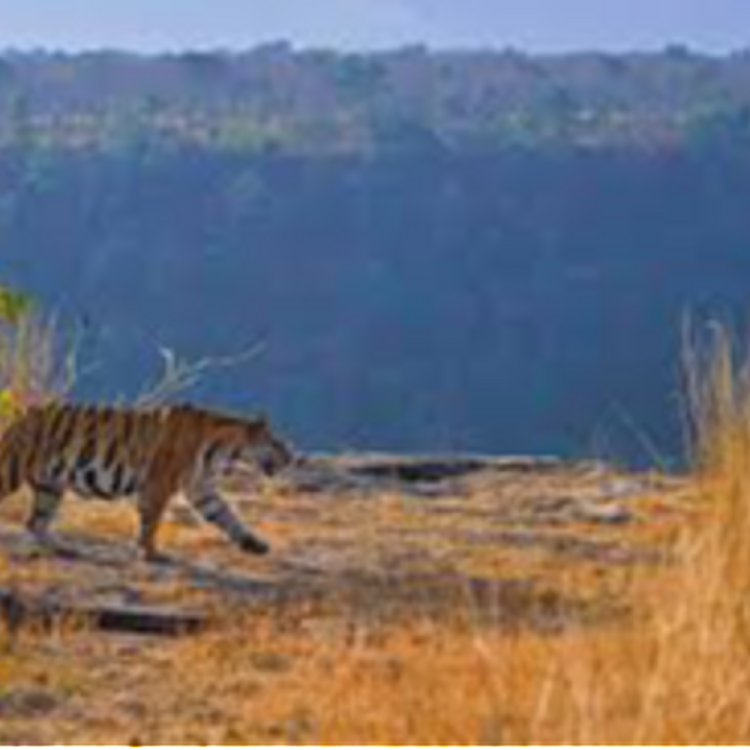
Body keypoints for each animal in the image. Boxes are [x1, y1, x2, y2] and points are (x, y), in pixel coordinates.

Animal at [0, 402, 294, 560]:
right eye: (277, 444)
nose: (291, 457)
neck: (223, 452)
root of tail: (18, 416)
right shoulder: (158, 484)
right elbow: (152, 521)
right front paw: (150, 552)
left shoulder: (202, 489)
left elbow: (227, 516)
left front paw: (254, 544)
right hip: (13, 470)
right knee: (32, 519)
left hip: (51, 485)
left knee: (35, 522)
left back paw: (63, 549)